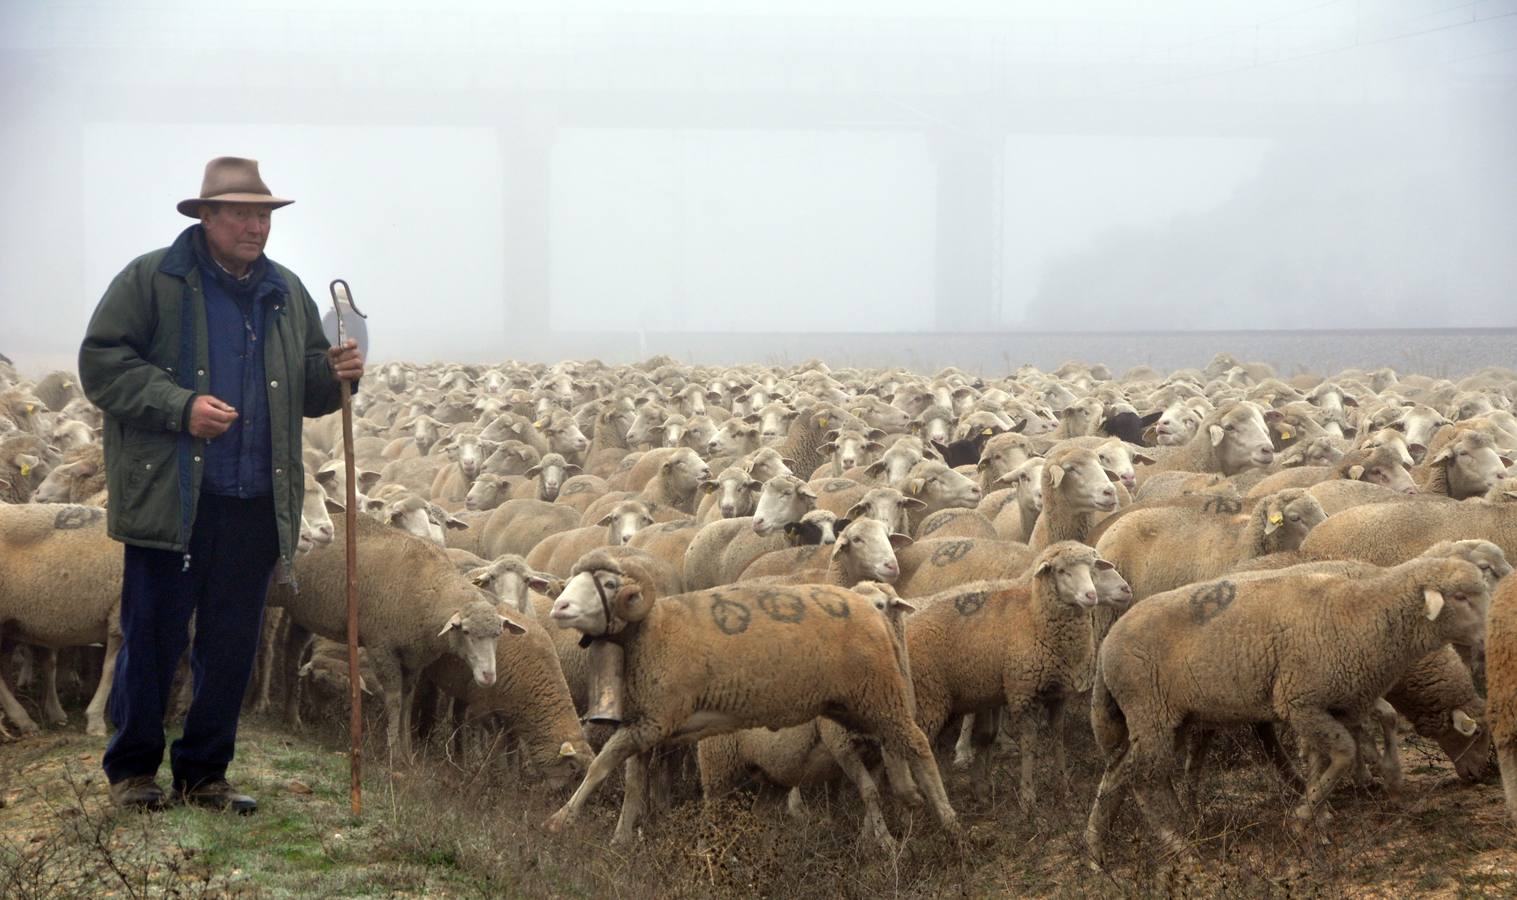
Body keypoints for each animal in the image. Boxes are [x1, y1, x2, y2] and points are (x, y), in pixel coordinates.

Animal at [269, 513, 525, 757]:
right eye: (466, 631)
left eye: (498, 634)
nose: (488, 676)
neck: (429, 591)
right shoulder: (381, 647)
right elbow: (394, 699)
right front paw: (393, 752)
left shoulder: (413, 657)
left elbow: (407, 701)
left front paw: (407, 751)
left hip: (302, 614)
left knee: (291, 657)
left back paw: (292, 719)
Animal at [541, 552, 961, 846]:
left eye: (611, 584)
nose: (559, 607)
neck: (654, 633)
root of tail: (869, 612)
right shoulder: (646, 724)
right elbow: (631, 782)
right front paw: (622, 836)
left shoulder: (655, 721)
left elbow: (601, 764)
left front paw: (562, 818)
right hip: (856, 706)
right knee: (895, 747)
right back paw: (912, 803)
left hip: (878, 694)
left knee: (918, 745)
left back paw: (949, 822)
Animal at [1084, 557, 1489, 864]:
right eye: (1460, 596)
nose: (1480, 775)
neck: (1360, 611)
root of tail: (1106, 647)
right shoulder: (1300, 701)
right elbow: (1344, 752)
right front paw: (1305, 816)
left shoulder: (1335, 703)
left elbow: (1331, 754)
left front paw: (1328, 809)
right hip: (1151, 710)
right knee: (1145, 777)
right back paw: (1180, 845)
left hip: (1168, 718)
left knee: (1119, 774)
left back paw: (1099, 852)